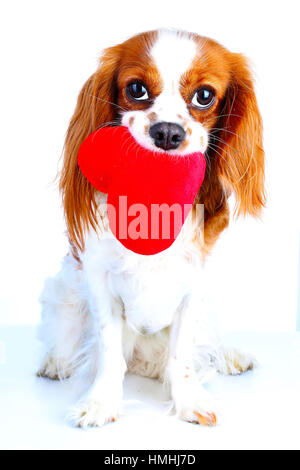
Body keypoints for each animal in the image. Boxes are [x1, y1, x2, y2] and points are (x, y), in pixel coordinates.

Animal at [37, 27, 264, 428]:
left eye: (205, 96)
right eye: (137, 89)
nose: (168, 132)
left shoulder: (194, 284)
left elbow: (183, 353)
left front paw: (190, 401)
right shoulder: (98, 280)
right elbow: (109, 351)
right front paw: (100, 404)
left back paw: (229, 356)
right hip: (63, 292)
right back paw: (55, 362)